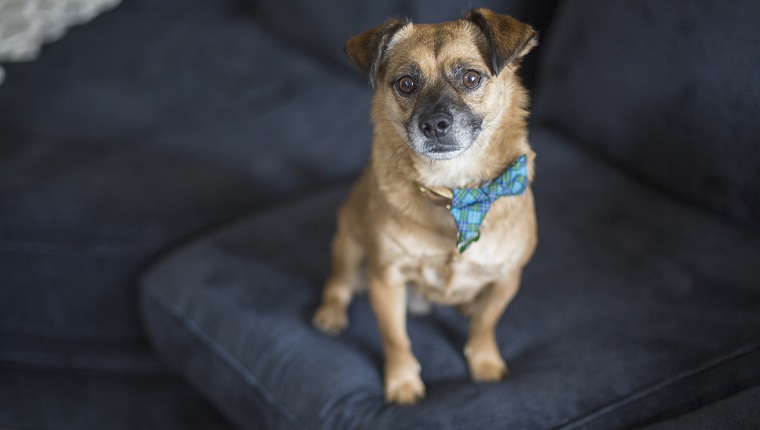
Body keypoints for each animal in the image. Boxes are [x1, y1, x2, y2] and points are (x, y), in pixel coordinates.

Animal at [312, 10, 536, 406]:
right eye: (405, 84)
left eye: (471, 78)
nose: (433, 124)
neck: (453, 191)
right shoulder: (386, 280)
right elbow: (396, 338)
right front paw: (402, 383)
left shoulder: (507, 278)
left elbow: (485, 324)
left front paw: (484, 362)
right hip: (349, 243)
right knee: (338, 282)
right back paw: (331, 314)